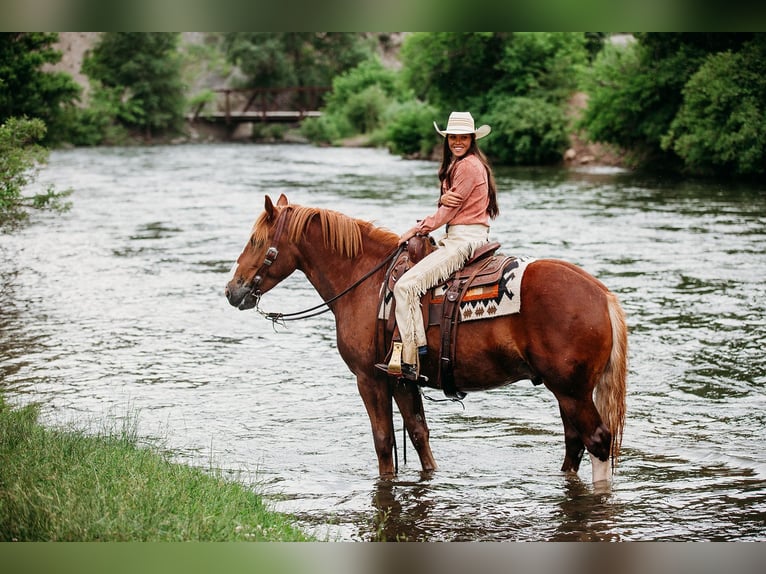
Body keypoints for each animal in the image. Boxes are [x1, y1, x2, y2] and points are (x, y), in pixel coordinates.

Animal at [225, 194, 627, 484]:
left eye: (256, 241)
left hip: (572, 391)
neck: (366, 282)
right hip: (566, 391)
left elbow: (384, 441)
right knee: (574, 443)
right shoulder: (401, 379)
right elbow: (419, 434)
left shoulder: (368, 379)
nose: (232, 290)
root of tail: (601, 294)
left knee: (597, 441)